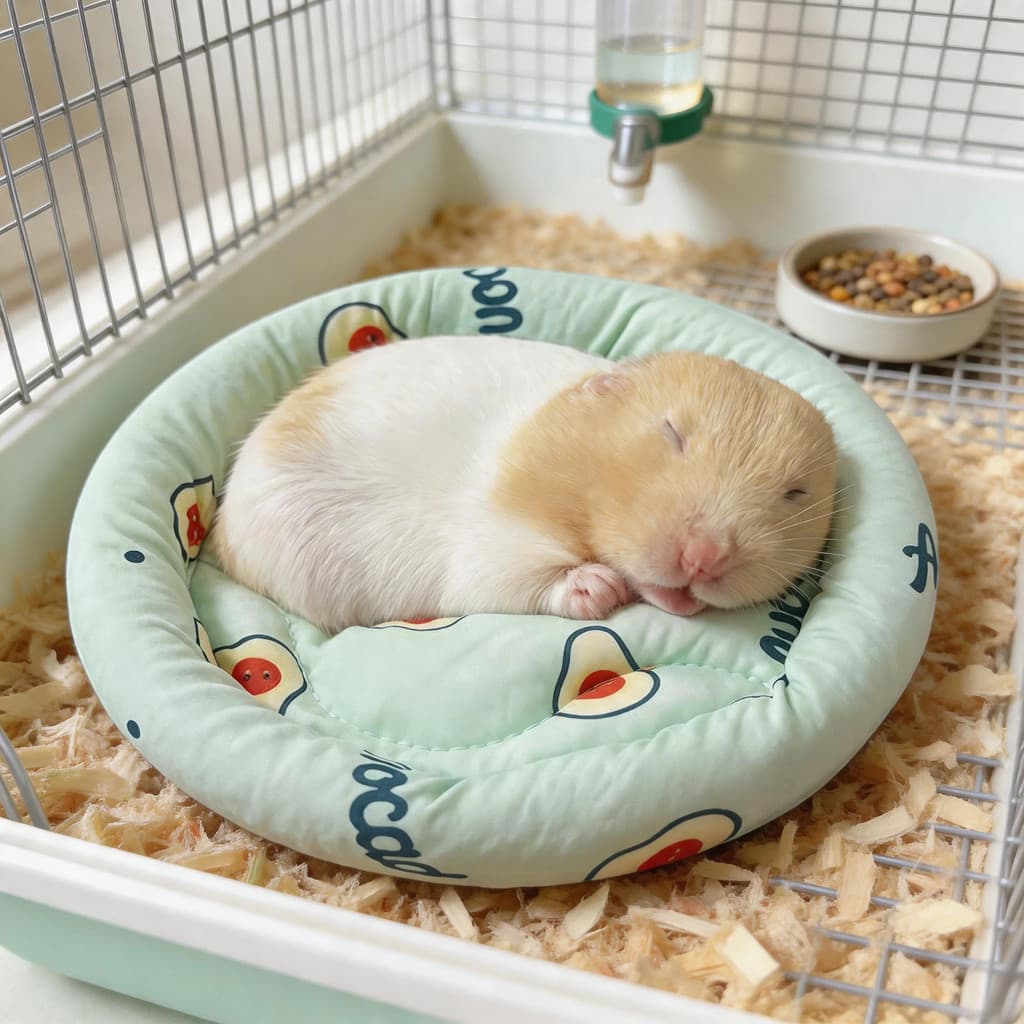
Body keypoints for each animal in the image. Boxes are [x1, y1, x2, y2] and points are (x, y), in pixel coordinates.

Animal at [212, 336, 837, 632]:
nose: (702, 560)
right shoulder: (492, 545)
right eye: (672, 434)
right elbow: (527, 578)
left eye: (795, 493)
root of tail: (219, 537)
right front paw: (601, 587)